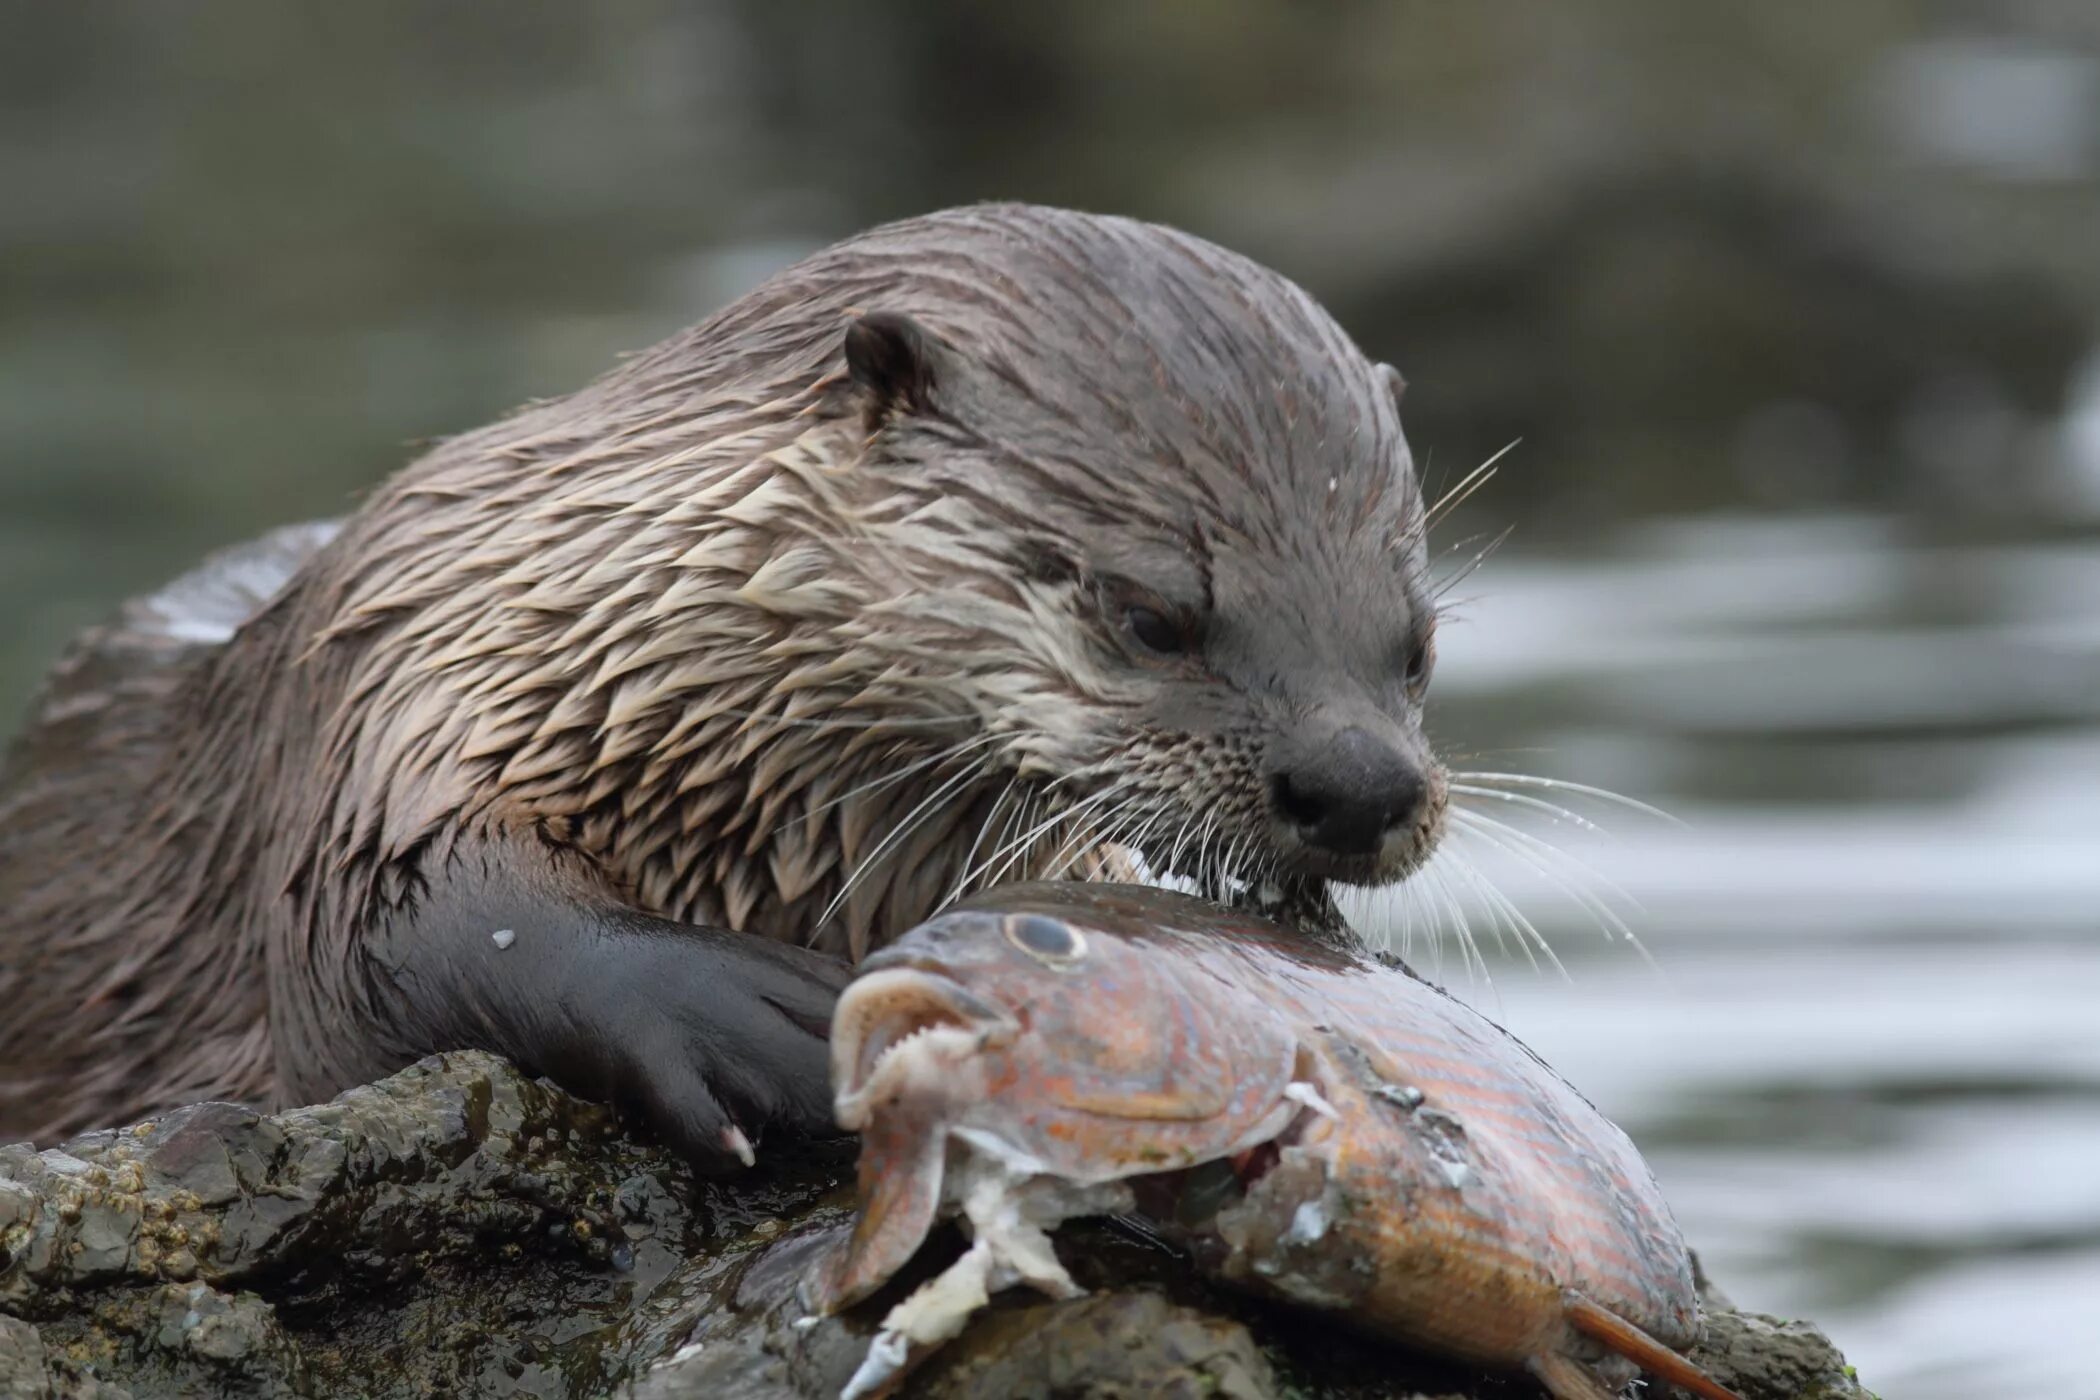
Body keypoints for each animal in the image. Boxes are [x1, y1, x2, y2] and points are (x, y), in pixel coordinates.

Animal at [0, 205, 1444, 1175]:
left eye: (1418, 640)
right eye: (1150, 617)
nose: (1361, 784)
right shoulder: (395, 712)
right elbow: (414, 931)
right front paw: (763, 1020)